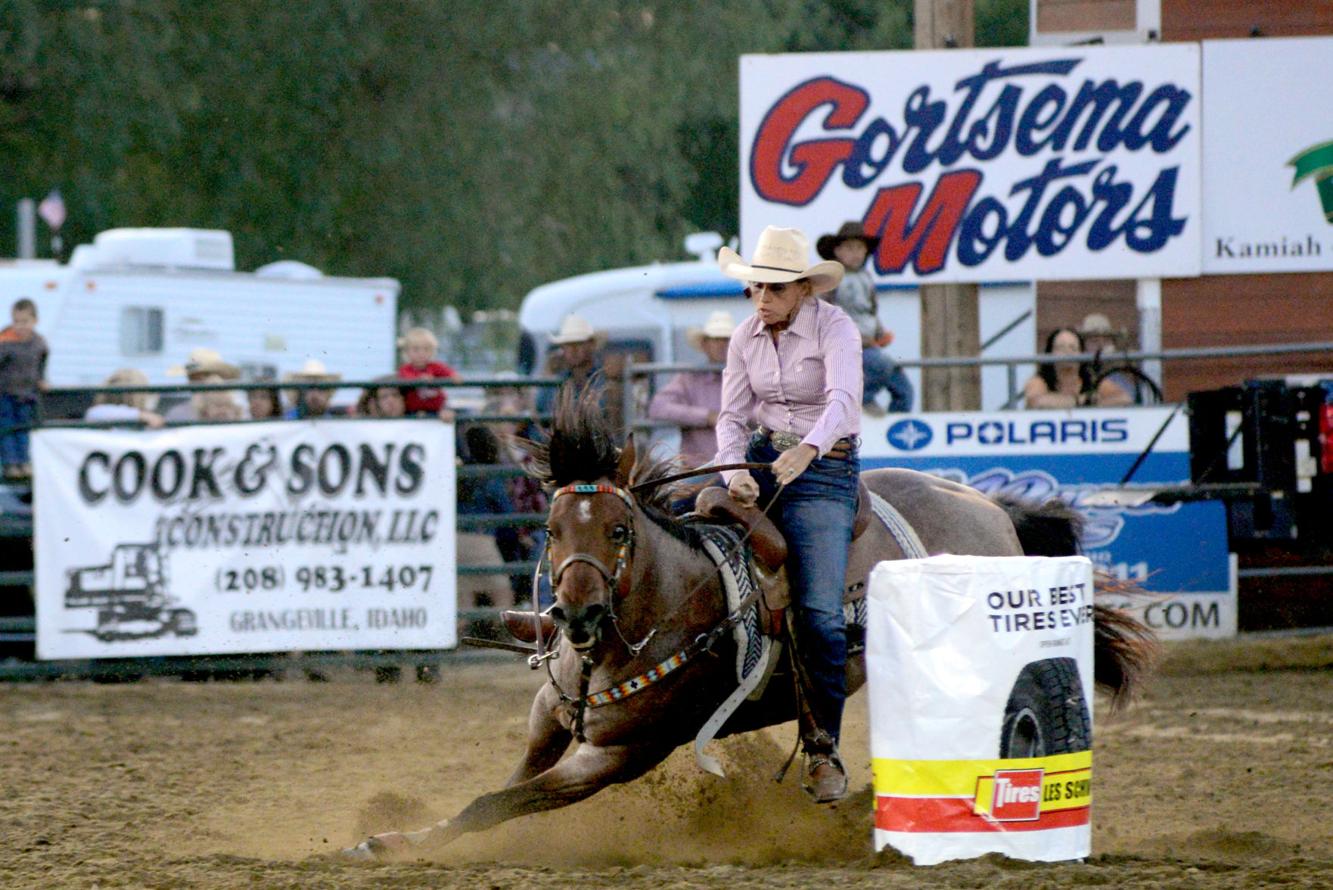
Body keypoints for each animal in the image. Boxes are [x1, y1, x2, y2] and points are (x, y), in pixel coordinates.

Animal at [346, 391, 1157, 863]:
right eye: (550, 528)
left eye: (617, 529)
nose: (576, 614)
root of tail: (990, 507)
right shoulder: (549, 720)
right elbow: (495, 793)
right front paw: (392, 840)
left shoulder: (621, 755)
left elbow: (498, 801)